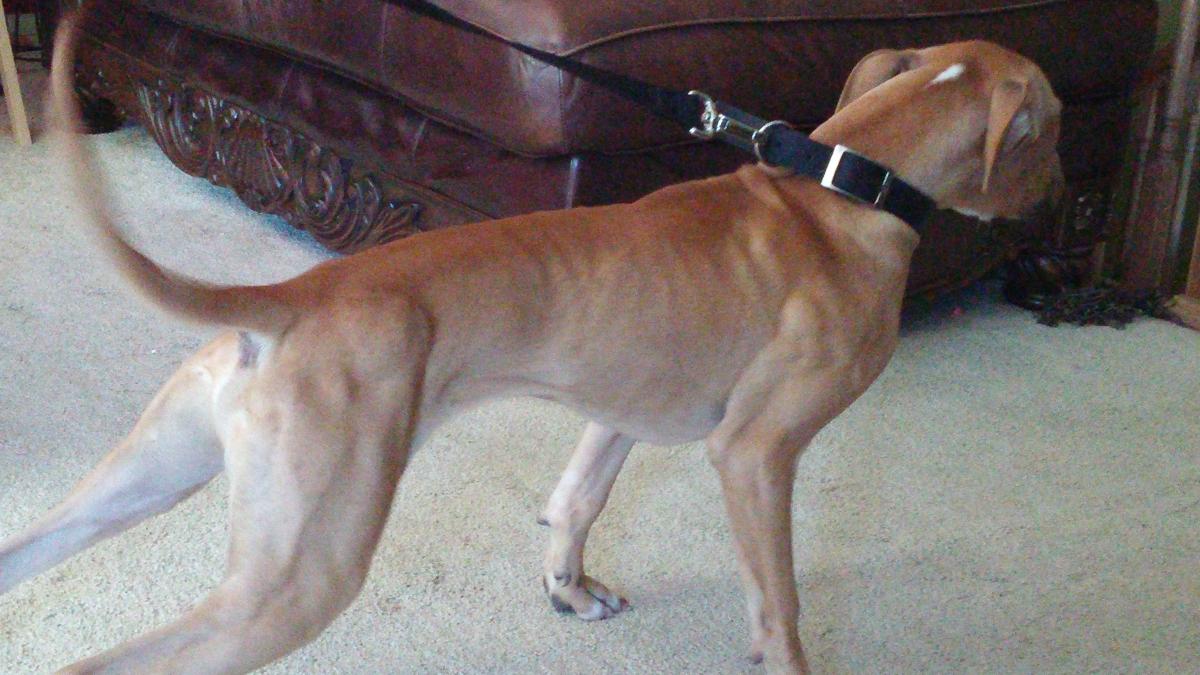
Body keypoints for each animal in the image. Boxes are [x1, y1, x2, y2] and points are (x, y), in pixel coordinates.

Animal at [0, 12, 1063, 674]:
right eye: (1052, 132)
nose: (1052, 199)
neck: (845, 187)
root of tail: (299, 292)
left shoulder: (619, 411)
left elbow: (575, 500)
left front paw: (570, 589)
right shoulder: (756, 453)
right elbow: (781, 602)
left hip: (154, 475)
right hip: (296, 578)